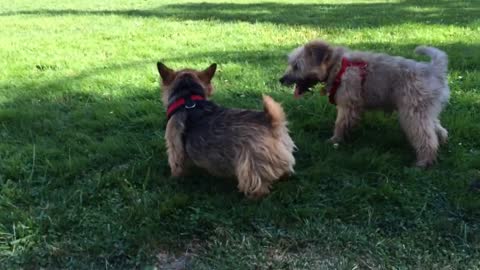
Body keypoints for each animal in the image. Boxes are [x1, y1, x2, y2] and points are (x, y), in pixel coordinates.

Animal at [158, 62, 294, 198]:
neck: (188, 98)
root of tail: (271, 122)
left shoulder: (174, 148)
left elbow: (176, 165)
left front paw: (174, 179)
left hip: (251, 164)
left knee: (257, 185)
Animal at [282, 39, 450, 167]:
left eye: (297, 66)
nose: (281, 79)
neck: (338, 66)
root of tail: (434, 70)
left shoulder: (348, 105)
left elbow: (340, 123)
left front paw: (335, 140)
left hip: (413, 113)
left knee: (427, 138)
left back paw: (424, 161)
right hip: (424, 110)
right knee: (438, 128)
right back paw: (442, 141)